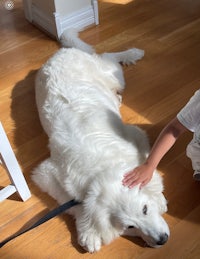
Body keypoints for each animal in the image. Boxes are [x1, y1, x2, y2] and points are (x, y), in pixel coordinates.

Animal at [32, 29, 170, 254]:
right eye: (130, 227)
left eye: (145, 209)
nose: (162, 240)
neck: (101, 169)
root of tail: (61, 52)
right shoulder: (45, 174)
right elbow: (75, 204)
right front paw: (88, 230)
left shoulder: (137, 134)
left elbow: (149, 165)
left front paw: (160, 197)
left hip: (113, 75)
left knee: (108, 56)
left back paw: (132, 53)